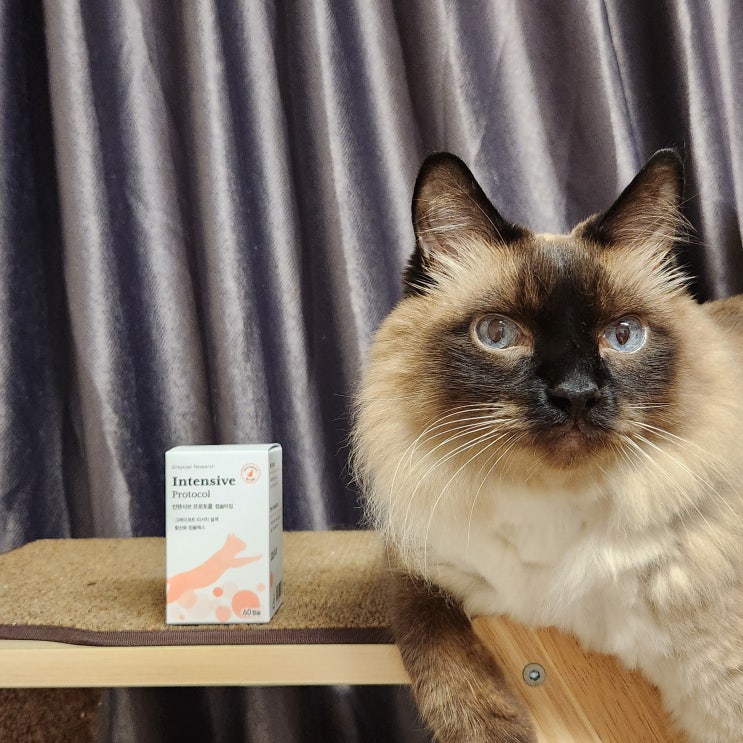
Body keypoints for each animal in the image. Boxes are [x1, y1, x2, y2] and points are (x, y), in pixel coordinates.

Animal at [352, 149, 743, 743]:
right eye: (497, 334)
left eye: (623, 336)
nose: (575, 395)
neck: (549, 502)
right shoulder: (423, 567)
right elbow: (433, 647)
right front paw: (496, 729)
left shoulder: (720, 695)